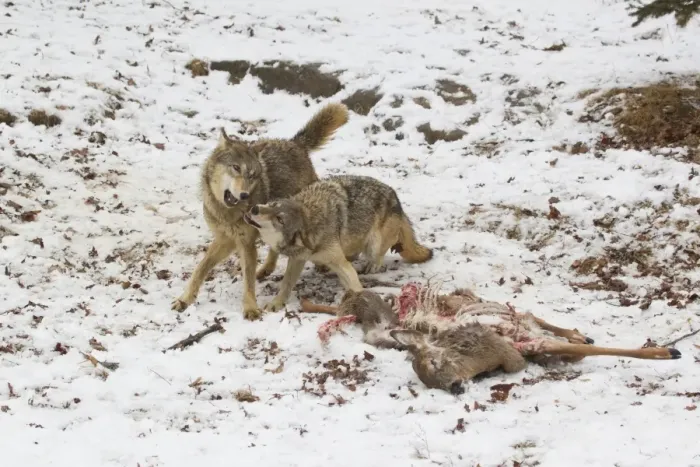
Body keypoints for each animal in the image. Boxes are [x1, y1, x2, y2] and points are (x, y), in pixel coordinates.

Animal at [171, 103, 349, 320]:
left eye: (252, 175)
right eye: (236, 168)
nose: (245, 195)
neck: (227, 213)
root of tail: (295, 143)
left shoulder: (245, 243)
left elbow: (247, 281)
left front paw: (250, 308)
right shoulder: (225, 240)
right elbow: (200, 269)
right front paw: (185, 299)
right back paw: (265, 269)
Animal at [243, 174, 433, 311]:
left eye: (280, 219)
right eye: (272, 204)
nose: (255, 208)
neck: (311, 218)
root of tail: (396, 197)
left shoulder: (338, 261)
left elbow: (355, 284)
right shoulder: (298, 259)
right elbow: (286, 284)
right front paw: (277, 303)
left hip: (374, 244)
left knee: (387, 248)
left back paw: (372, 265)